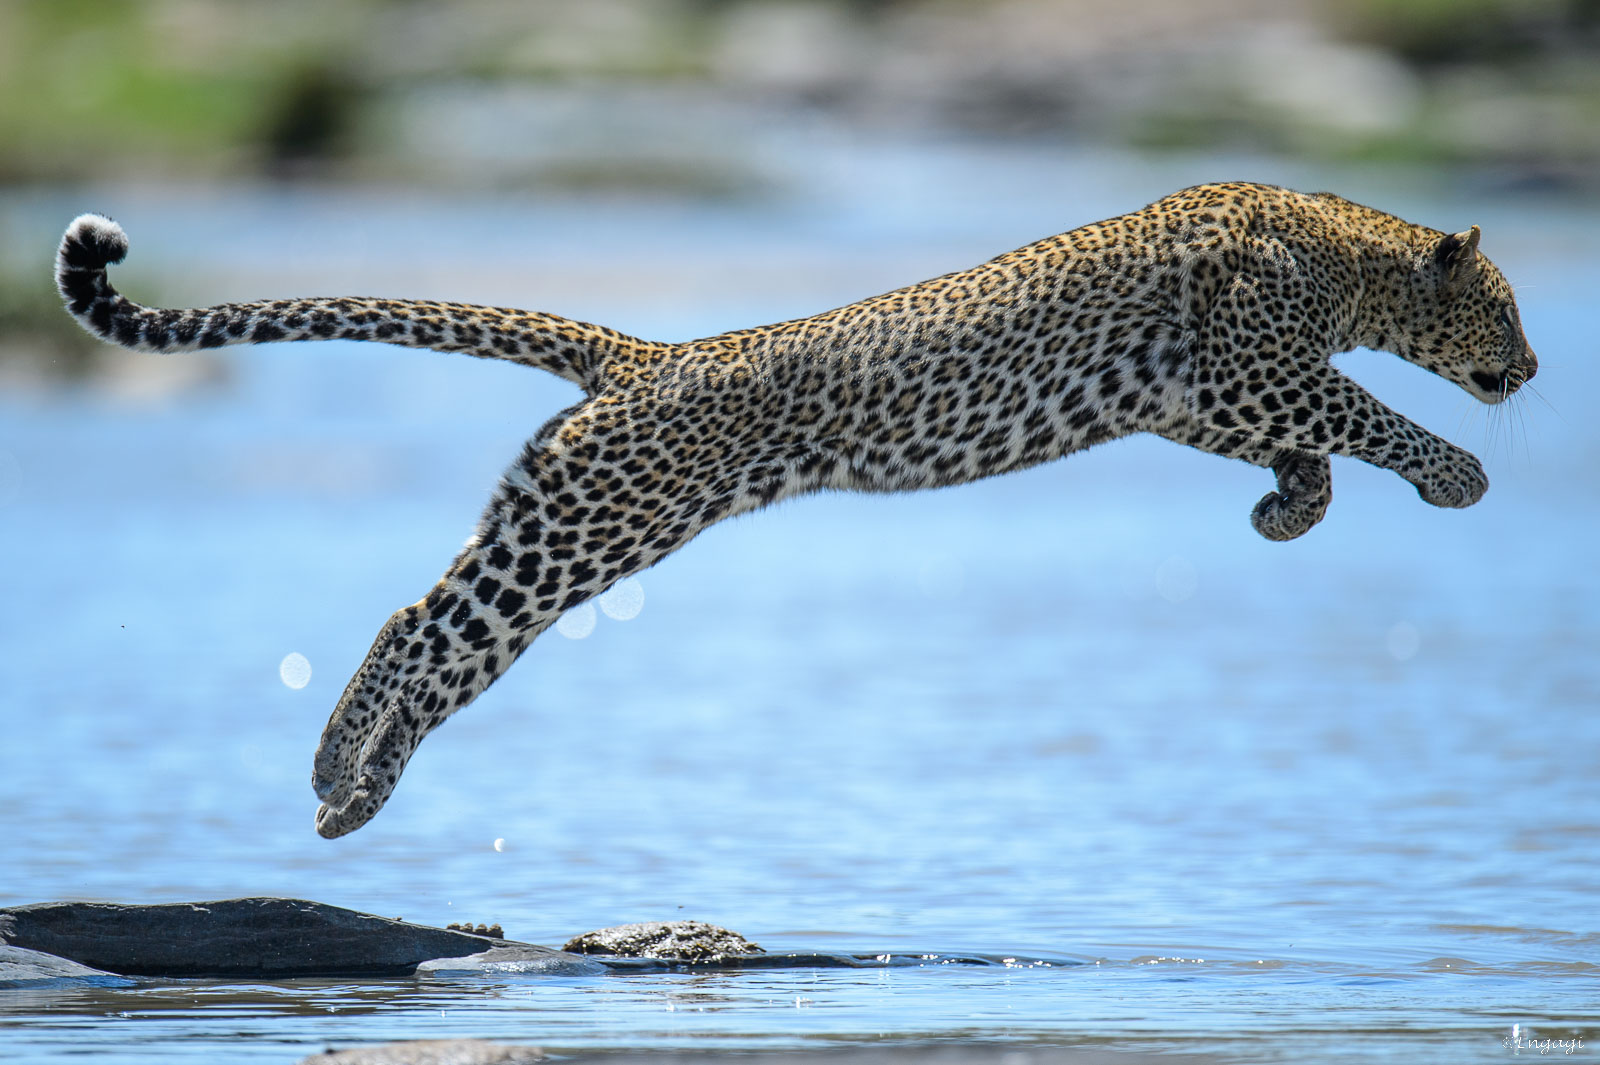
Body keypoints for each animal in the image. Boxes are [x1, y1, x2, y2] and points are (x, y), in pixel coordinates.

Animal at [56, 181, 1537, 838]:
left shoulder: (1194, 398)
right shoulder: (1252, 368)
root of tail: (645, 353)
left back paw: (342, 785)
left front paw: (1289, 513)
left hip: (550, 520)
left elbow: (1317, 444)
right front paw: (1455, 474)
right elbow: (1377, 416)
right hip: (590, 531)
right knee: (427, 629)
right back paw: (338, 784)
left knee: (420, 618)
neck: (1347, 258)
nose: (1529, 371)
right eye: (1510, 310)